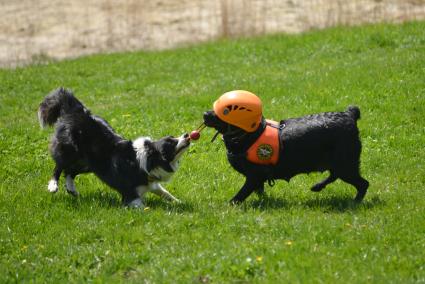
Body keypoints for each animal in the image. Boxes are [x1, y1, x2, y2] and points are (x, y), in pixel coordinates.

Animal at [38, 87, 189, 207]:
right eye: (170, 143)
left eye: (173, 137)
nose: (187, 135)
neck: (148, 161)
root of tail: (77, 111)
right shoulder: (130, 194)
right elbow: (140, 205)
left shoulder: (151, 184)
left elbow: (165, 193)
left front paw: (179, 203)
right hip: (69, 150)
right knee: (59, 167)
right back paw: (53, 186)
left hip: (90, 163)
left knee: (70, 171)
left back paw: (71, 189)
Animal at [203, 91, 368, 204]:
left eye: (223, 112)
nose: (205, 113)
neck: (250, 134)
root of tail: (349, 115)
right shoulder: (257, 180)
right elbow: (260, 192)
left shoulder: (254, 176)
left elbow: (240, 195)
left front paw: (229, 205)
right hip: (340, 164)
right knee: (335, 175)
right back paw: (318, 186)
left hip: (345, 165)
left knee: (363, 184)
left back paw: (355, 202)